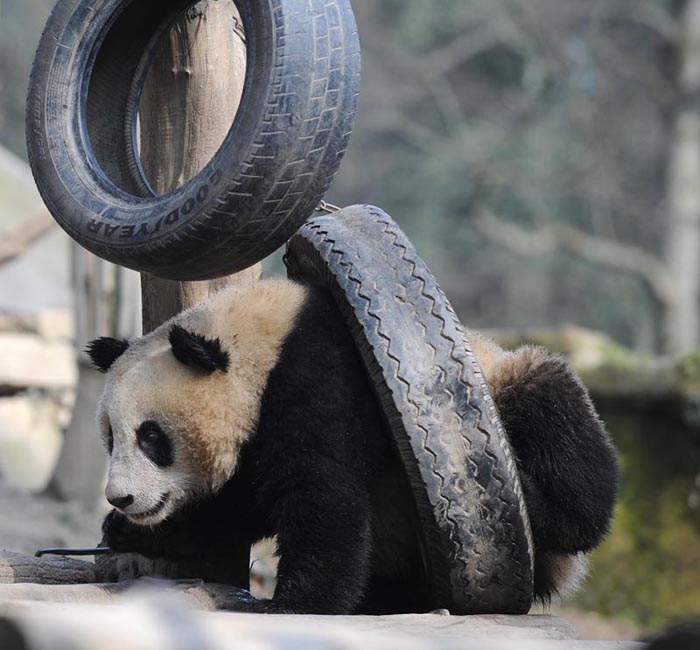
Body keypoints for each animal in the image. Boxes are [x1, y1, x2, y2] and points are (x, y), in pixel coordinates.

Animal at [87, 274, 616, 612]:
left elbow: (322, 493)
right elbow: (238, 507)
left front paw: (292, 605)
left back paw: (539, 502)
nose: (121, 497)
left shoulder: (315, 375)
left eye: (151, 436)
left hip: (502, 383)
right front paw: (128, 532)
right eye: (110, 437)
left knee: (562, 427)